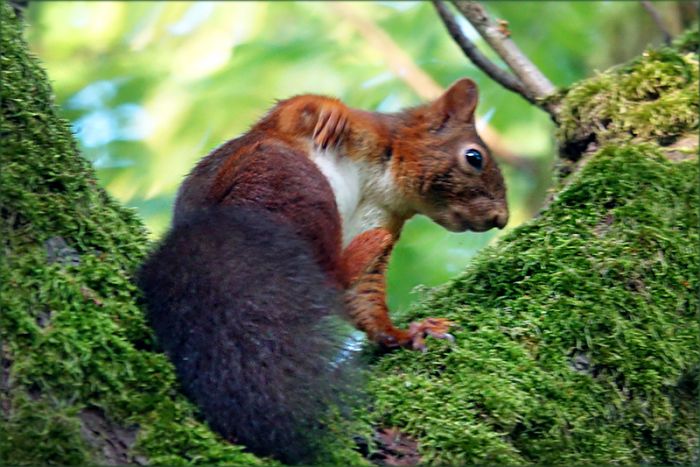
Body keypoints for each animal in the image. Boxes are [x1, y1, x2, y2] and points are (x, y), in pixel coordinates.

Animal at [137, 78, 508, 463]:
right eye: (474, 157)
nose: (501, 218)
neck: (383, 178)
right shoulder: (347, 130)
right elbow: (294, 109)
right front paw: (331, 111)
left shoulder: (381, 214)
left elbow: (363, 298)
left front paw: (406, 334)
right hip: (287, 176)